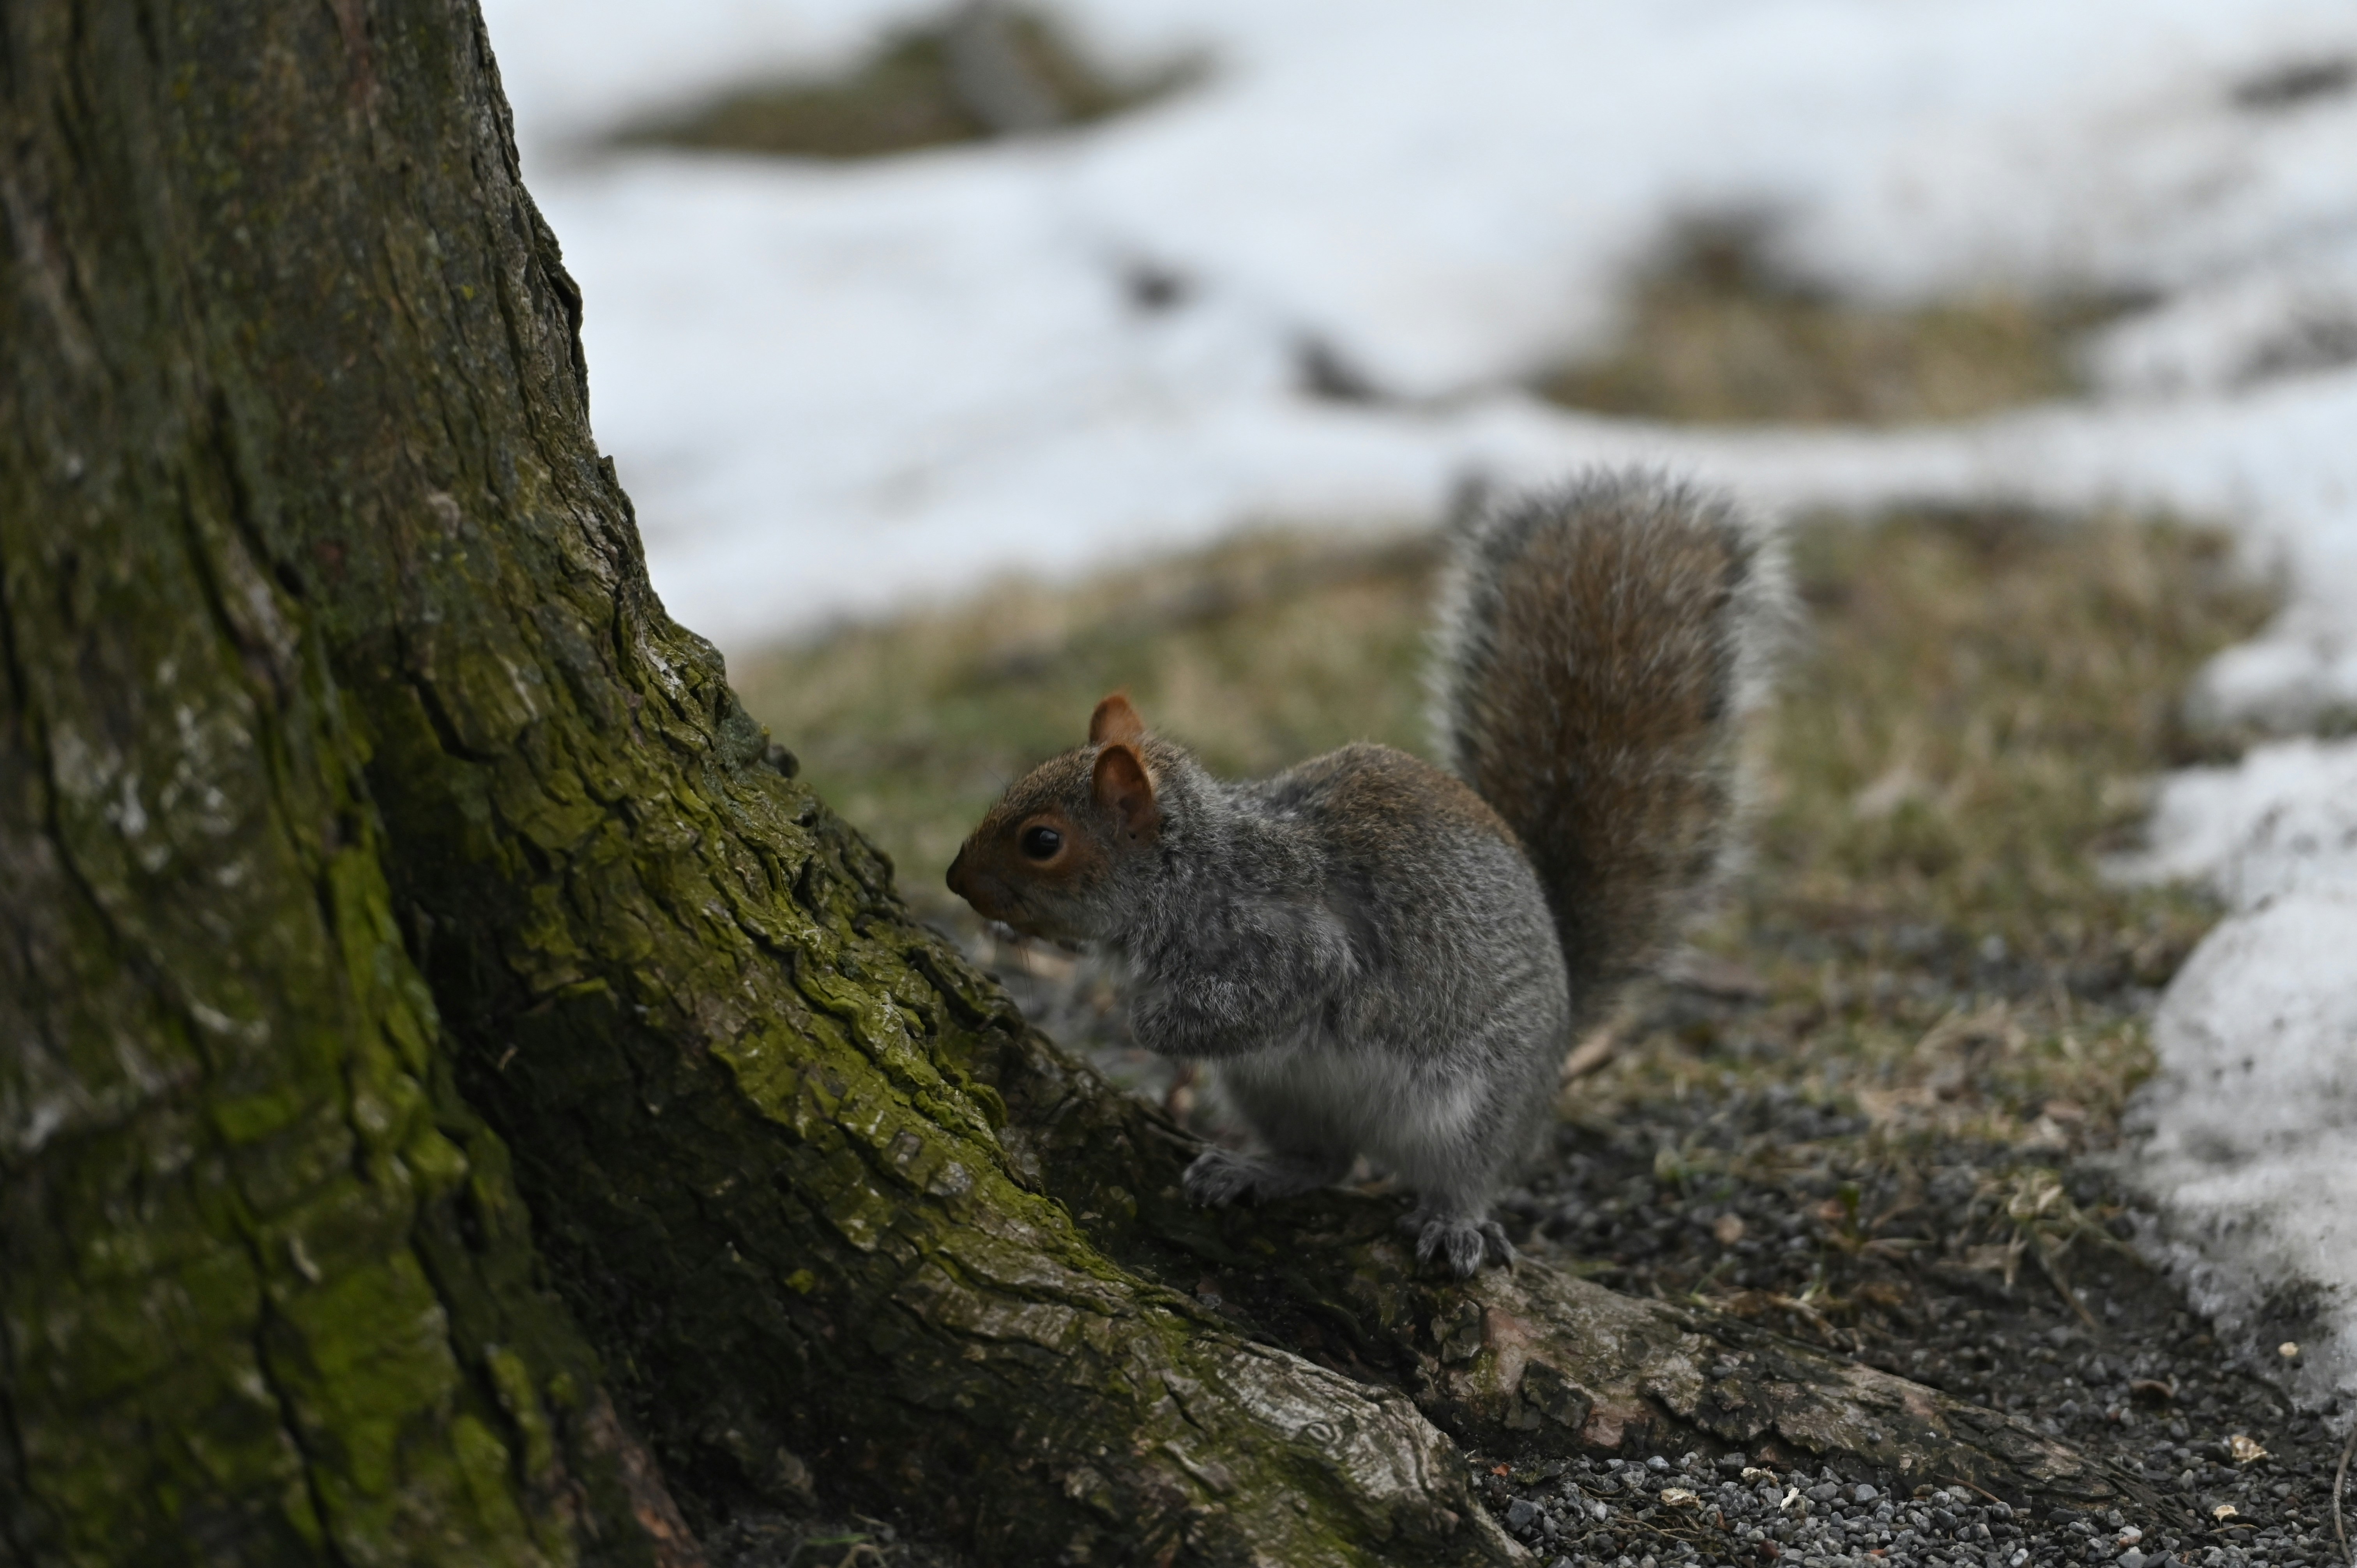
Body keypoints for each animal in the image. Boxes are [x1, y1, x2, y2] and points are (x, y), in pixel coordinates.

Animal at [945, 468, 1789, 1275]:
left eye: (1042, 840)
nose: (957, 881)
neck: (1197, 872)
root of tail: (1559, 1037)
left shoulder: (1290, 944)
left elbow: (1269, 994)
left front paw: (1146, 1019)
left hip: (1473, 1110)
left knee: (1467, 1174)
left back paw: (1455, 1223)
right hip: (1275, 1091)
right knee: (1327, 1159)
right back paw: (1257, 1171)